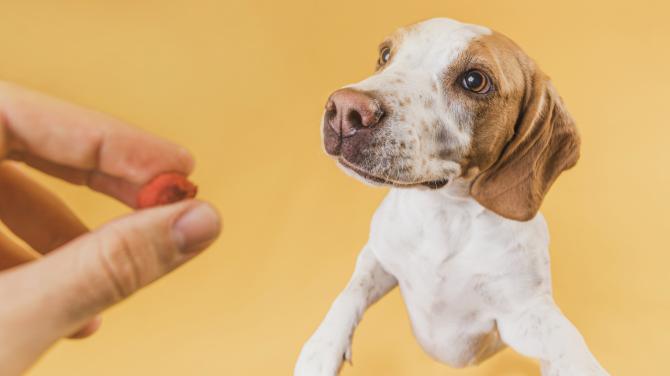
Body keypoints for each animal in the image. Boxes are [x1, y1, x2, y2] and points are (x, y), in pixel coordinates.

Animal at [296, 18, 612, 376]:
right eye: (386, 54)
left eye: (474, 81)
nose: (345, 108)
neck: (444, 215)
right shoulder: (377, 257)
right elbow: (350, 293)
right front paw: (321, 348)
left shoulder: (523, 316)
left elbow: (569, 347)